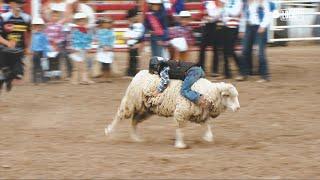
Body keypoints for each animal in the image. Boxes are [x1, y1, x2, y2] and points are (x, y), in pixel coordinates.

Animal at [105, 69, 240, 148]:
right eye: (228, 96)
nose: (238, 108)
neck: (206, 92)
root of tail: (139, 73)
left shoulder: (200, 114)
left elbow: (207, 126)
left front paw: (208, 138)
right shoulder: (182, 111)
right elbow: (180, 128)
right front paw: (180, 144)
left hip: (146, 109)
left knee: (134, 121)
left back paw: (136, 138)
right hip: (132, 101)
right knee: (120, 115)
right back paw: (109, 131)